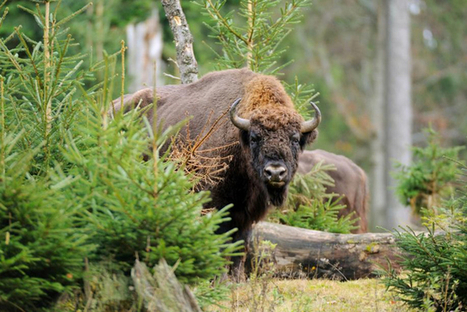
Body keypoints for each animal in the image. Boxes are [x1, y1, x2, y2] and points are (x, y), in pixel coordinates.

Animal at [112, 68, 322, 276]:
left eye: (295, 139)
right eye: (255, 137)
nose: (275, 172)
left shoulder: (246, 214)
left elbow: (240, 247)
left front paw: (236, 278)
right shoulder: (216, 205)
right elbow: (221, 243)